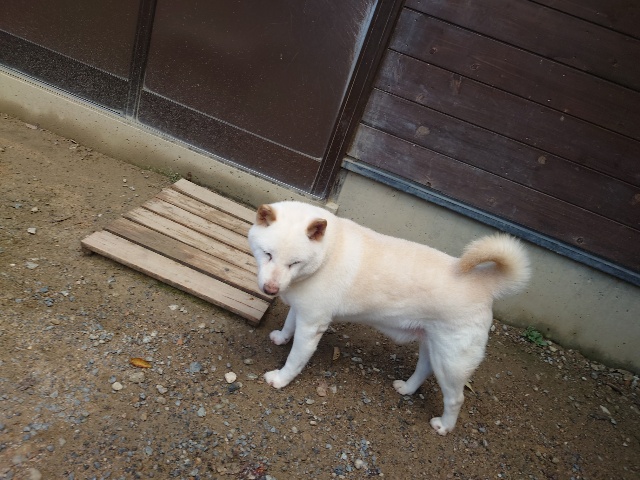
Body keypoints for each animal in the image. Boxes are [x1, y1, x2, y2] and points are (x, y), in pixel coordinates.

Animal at [248, 201, 530, 435]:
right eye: (268, 254)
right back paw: (407, 388)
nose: (271, 290)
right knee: (424, 368)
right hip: (432, 345)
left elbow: (295, 360)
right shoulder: (302, 309)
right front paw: (281, 338)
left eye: (294, 263)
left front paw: (280, 379)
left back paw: (444, 426)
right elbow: (289, 324)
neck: (326, 254)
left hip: (452, 361)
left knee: (455, 398)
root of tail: (484, 283)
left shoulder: (312, 325)